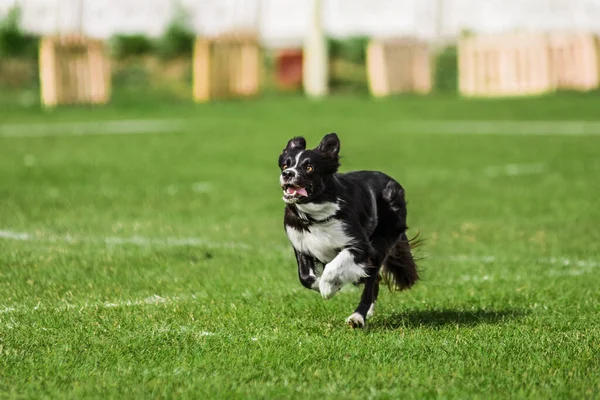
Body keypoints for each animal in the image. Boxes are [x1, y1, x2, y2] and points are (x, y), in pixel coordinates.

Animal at [278, 133, 420, 326]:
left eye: (309, 167)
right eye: (285, 164)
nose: (287, 174)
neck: (316, 213)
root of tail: (393, 183)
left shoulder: (360, 245)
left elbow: (333, 266)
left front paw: (328, 288)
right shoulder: (301, 244)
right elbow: (305, 278)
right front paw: (328, 285)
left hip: (382, 242)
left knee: (371, 281)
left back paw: (357, 317)